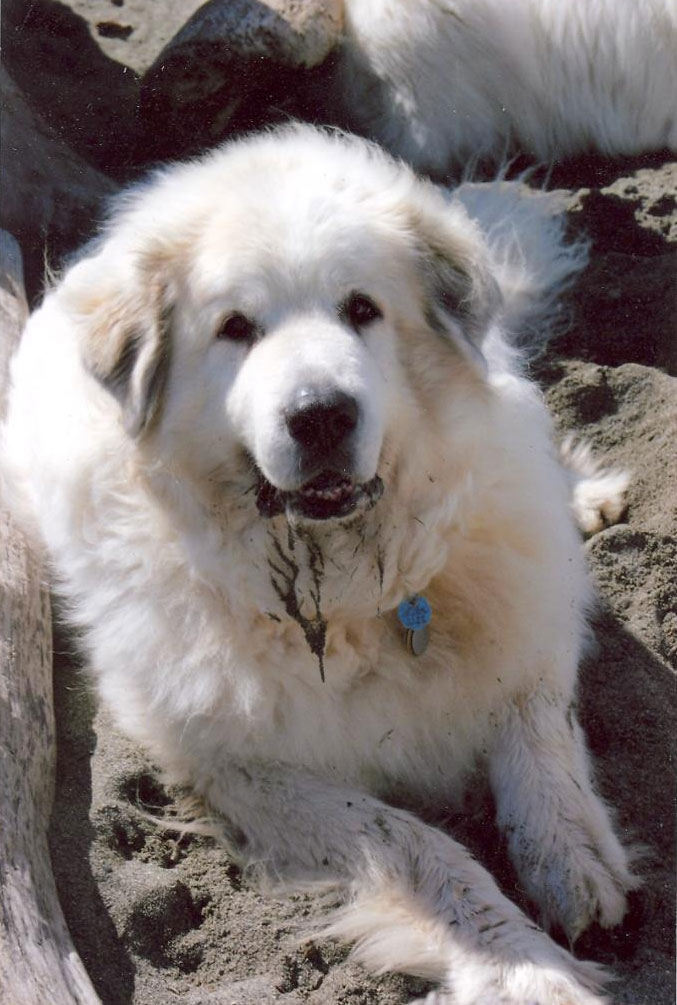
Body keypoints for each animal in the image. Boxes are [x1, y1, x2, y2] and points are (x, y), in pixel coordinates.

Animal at [1, 127, 634, 1005]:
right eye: (235, 327)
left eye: (360, 309)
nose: (322, 414)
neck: (347, 585)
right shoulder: (242, 766)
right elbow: (411, 840)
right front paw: (521, 967)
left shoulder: (523, 626)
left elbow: (538, 734)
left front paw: (570, 857)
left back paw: (588, 497)